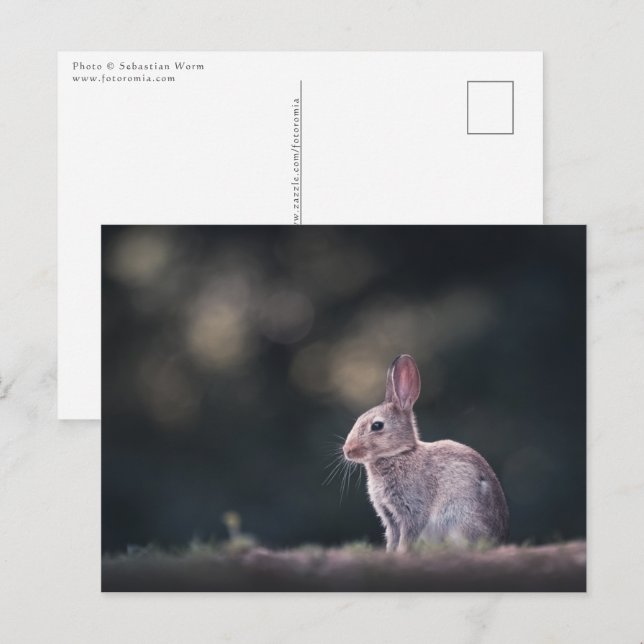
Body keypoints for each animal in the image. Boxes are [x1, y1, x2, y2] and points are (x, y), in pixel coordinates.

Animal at [343, 354, 509, 552]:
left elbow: (408, 535)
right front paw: (391, 553)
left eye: (377, 425)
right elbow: (393, 537)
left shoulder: (412, 509)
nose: (347, 450)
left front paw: (402, 553)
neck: (399, 453)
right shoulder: (390, 517)